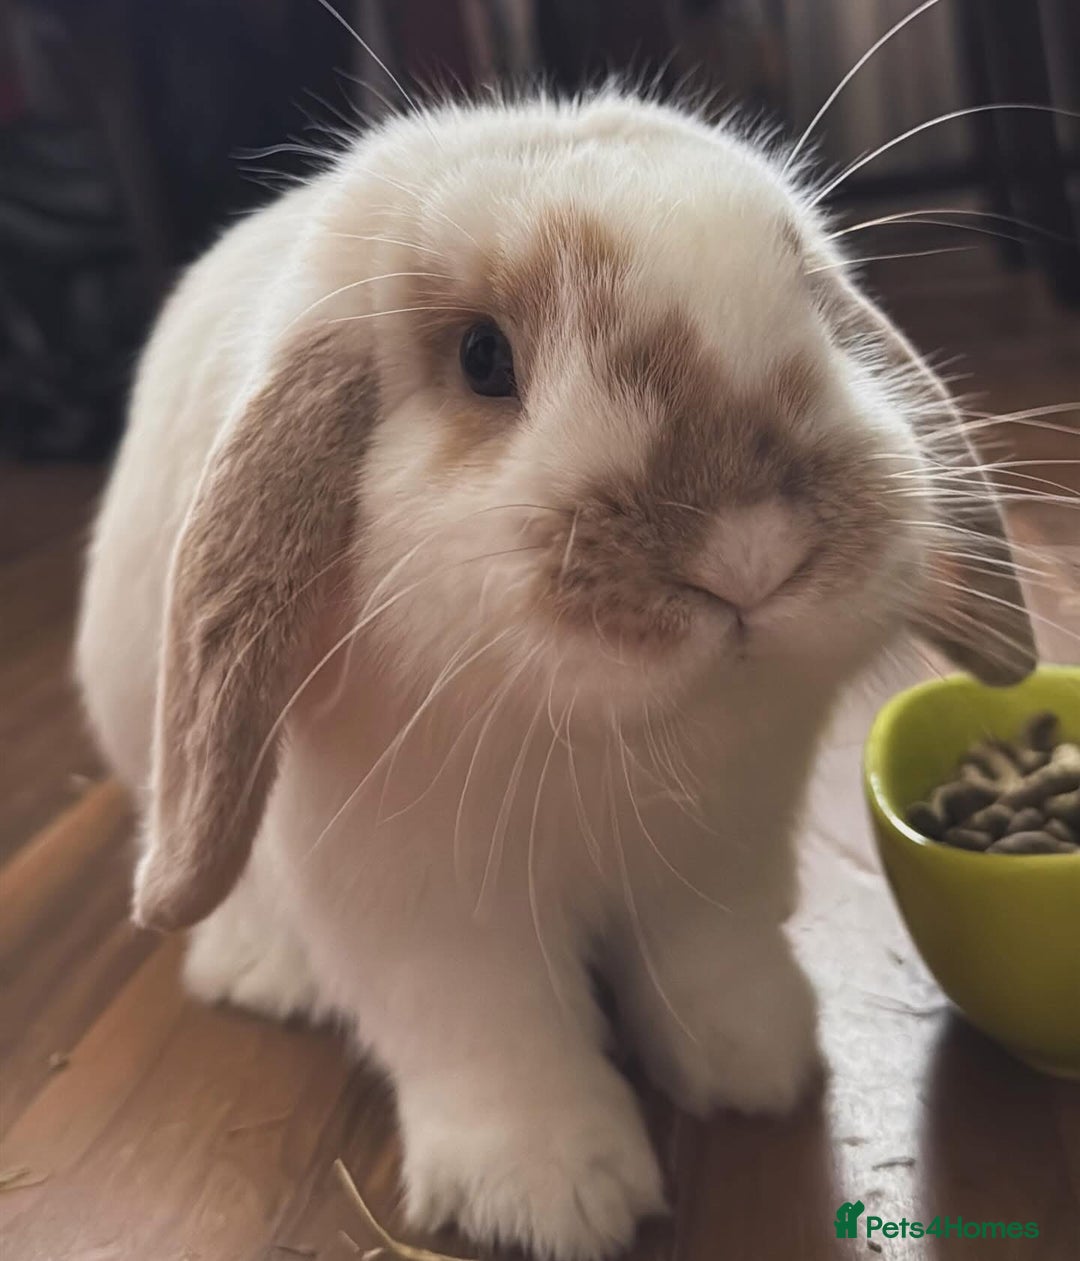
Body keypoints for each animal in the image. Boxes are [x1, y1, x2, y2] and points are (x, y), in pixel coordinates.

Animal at [76, 90, 1035, 1260]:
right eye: (483, 357)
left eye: (810, 301)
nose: (747, 551)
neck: (613, 744)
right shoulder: (428, 917)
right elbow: (497, 1041)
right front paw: (550, 1198)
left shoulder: (717, 856)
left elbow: (712, 962)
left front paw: (759, 1068)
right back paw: (261, 969)